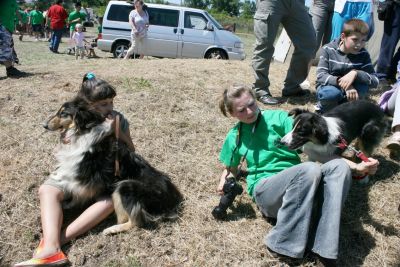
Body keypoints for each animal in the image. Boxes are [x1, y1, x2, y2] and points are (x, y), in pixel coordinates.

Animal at [43, 98, 183, 234]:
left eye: (63, 113)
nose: (44, 125)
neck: (82, 130)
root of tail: (172, 200)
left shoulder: (86, 171)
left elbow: (74, 185)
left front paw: (68, 198)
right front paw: (67, 202)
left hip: (125, 186)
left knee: (137, 222)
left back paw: (111, 229)